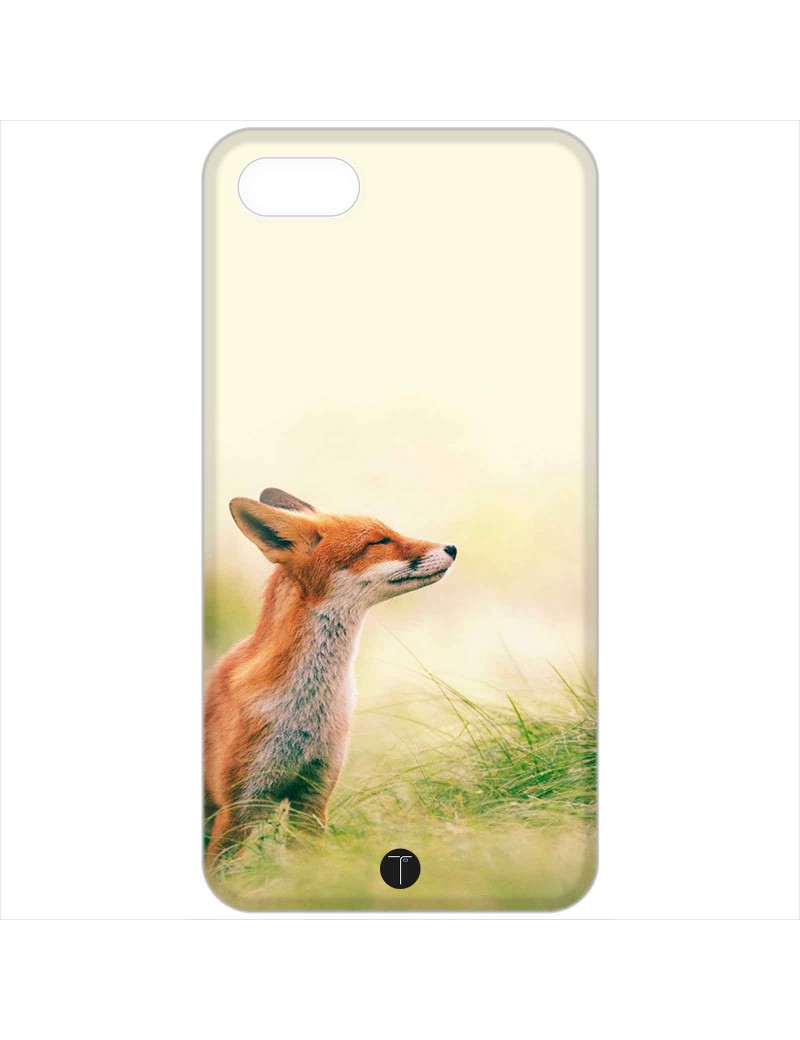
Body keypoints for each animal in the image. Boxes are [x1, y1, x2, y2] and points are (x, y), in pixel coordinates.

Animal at [204, 487, 457, 865]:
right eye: (379, 541)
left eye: (390, 532)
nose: (452, 548)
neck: (306, 711)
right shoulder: (237, 807)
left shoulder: (313, 795)